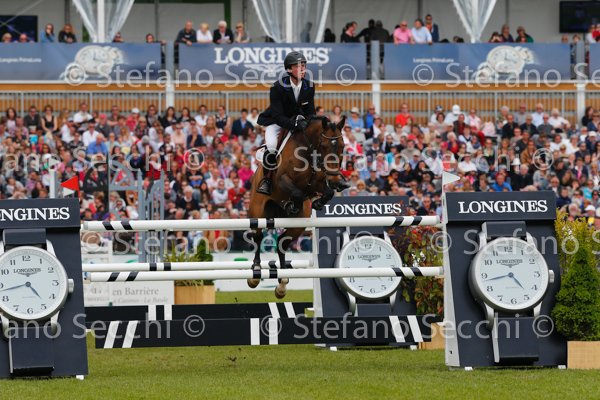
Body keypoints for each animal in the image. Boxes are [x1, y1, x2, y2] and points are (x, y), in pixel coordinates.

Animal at [247, 116, 348, 298]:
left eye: (342, 146)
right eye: (324, 146)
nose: (337, 181)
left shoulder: (317, 182)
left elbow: (327, 192)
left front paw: (317, 202)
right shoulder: (282, 180)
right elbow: (297, 193)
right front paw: (292, 204)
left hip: (298, 226)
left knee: (282, 242)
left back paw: (282, 283)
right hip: (257, 212)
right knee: (258, 237)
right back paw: (255, 273)